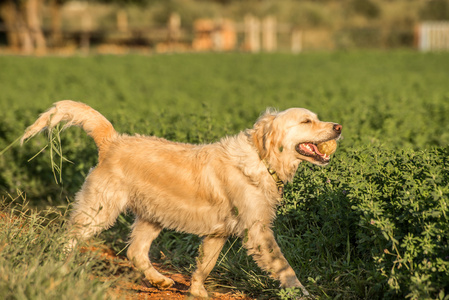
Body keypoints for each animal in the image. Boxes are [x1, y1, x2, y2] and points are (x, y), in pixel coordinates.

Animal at [21, 101, 340, 298]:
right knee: (67, 239)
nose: (339, 127)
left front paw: (197, 292)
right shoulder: (258, 231)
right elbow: (286, 268)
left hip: (152, 215)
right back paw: (59, 267)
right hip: (99, 210)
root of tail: (112, 141)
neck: (263, 160)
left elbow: (205, 265)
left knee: (135, 251)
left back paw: (159, 280)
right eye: (306, 121)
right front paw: (303, 294)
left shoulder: (218, 233)